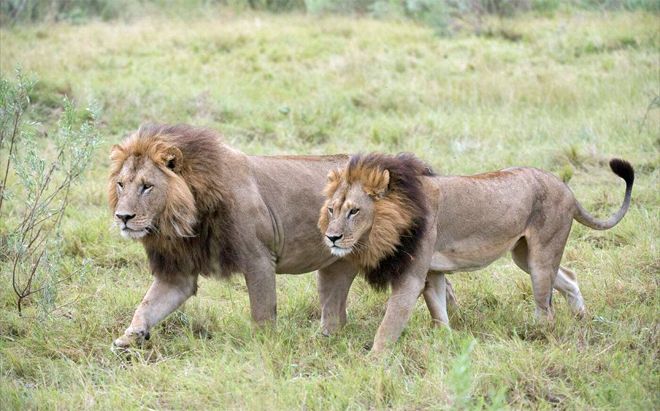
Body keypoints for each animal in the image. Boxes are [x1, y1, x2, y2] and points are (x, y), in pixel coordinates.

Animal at [109, 123, 366, 347]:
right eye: (121, 184)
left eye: (147, 186)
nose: (122, 217)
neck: (187, 218)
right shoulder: (178, 272)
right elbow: (148, 305)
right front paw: (130, 337)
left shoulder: (259, 259)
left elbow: (262, 312)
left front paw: (264, 347)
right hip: (335, 267)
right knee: (335, 316)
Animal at [319, 153, 634, 352]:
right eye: (332, 209)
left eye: (354, 211)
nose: (331, 237)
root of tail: (566, 188)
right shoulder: (433, 273)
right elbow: (439, 313)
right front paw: (445, 344)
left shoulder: (411, 278)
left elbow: (388, 326)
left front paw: (373, 361)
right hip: (524, 256)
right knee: (568, 277)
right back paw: (582, 319)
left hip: (542, 255)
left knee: (546, 309)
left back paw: (536, 335)